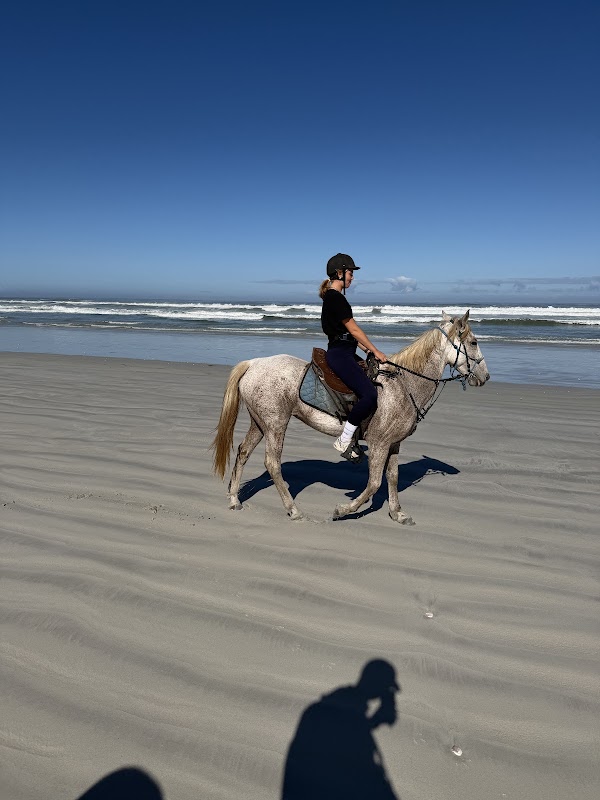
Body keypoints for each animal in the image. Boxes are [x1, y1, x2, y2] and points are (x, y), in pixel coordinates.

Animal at [211, 311, 489, 523]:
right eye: (474, 342)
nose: (485, 377)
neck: (403, 384)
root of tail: (253, 363)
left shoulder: (394, 444)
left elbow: (393, 477)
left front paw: (397, 513)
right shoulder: (379, 444)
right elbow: (374, 483)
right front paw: (343, 510)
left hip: (260, 423)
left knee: (243, 452)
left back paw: (234, 499)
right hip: (275, 423)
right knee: (272, 463)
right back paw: (293, 509)